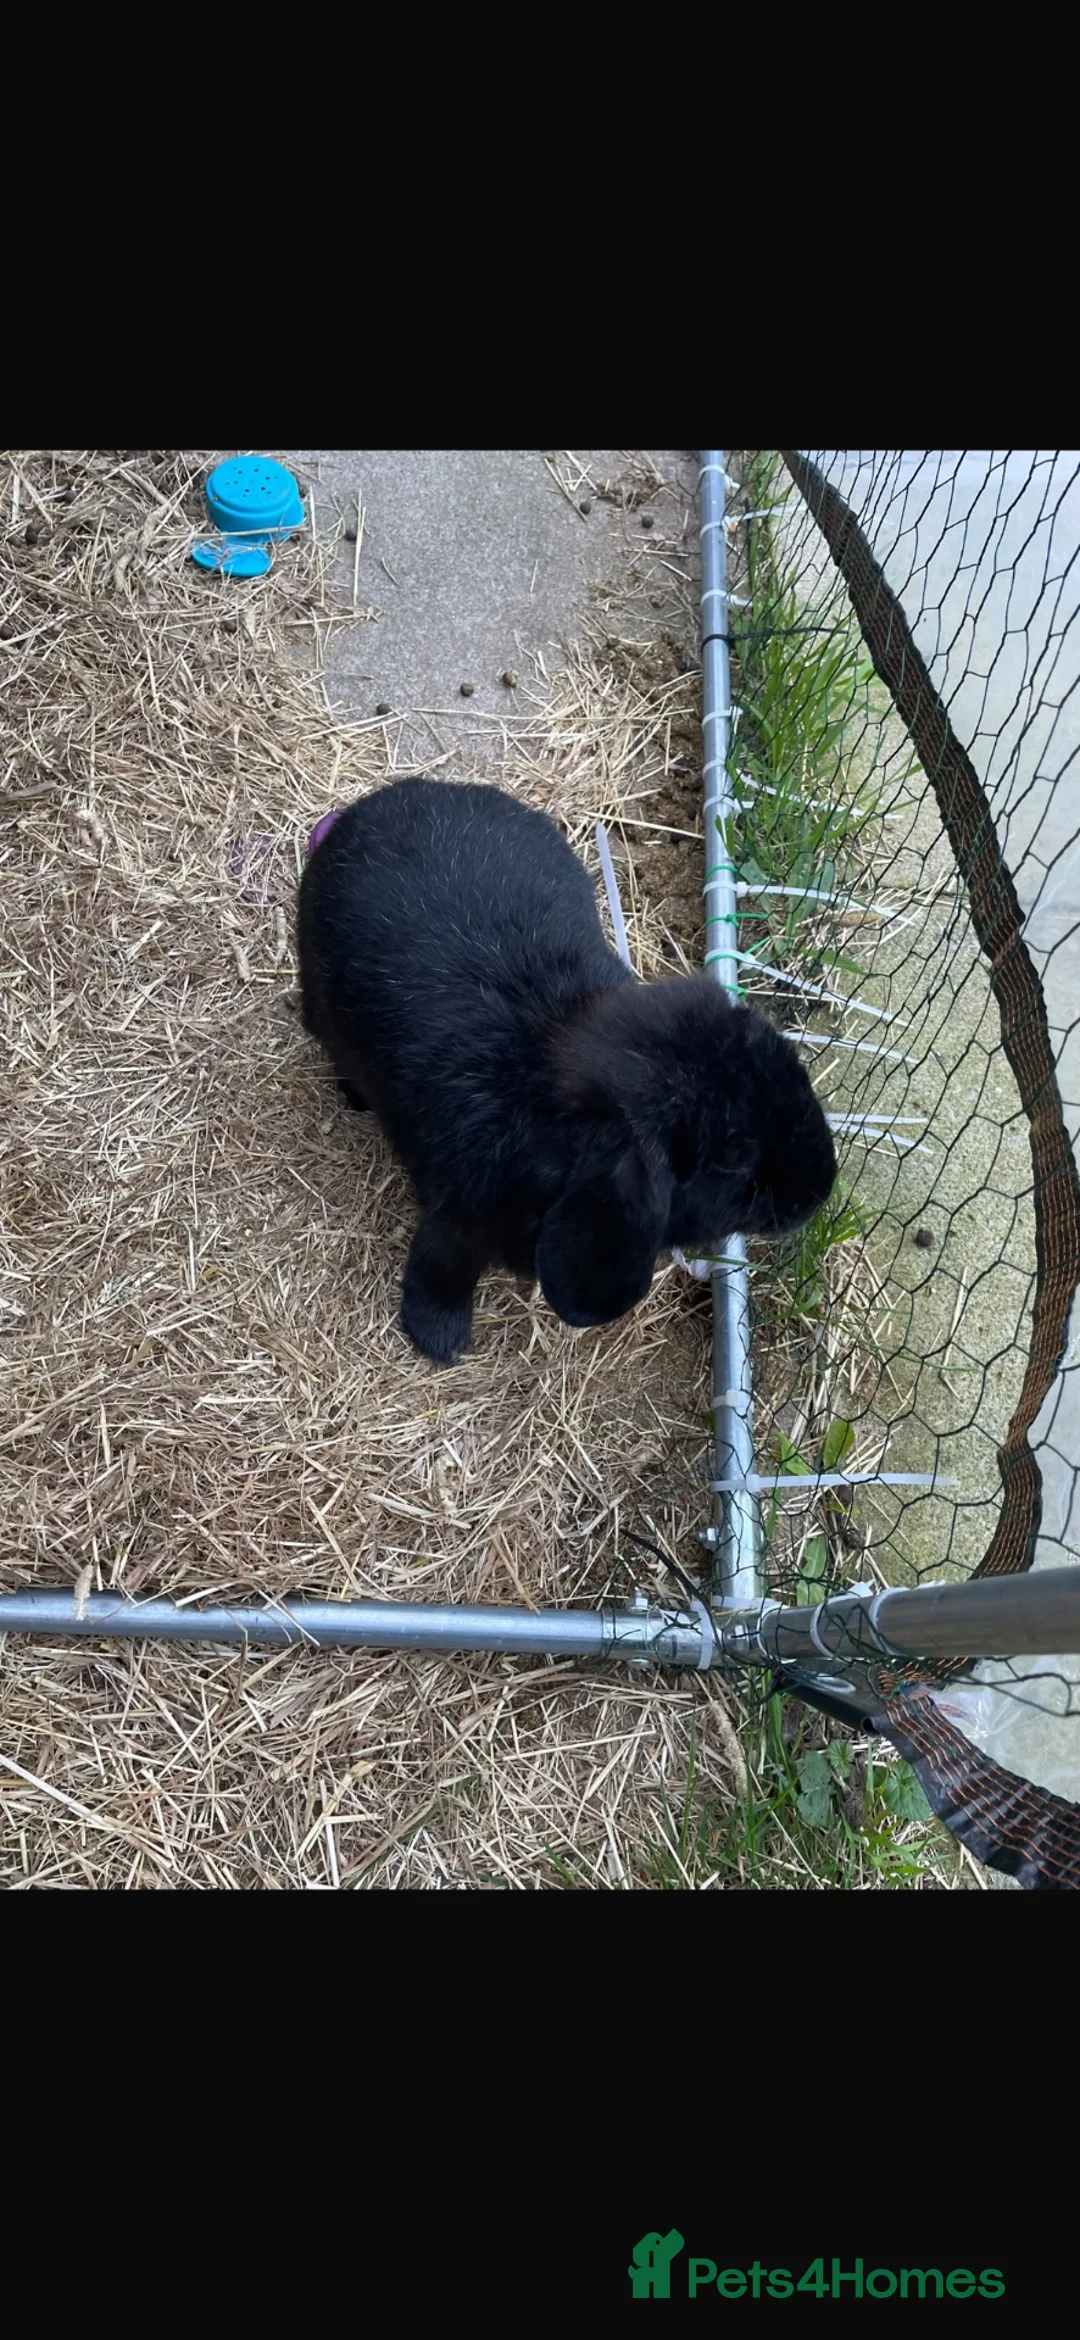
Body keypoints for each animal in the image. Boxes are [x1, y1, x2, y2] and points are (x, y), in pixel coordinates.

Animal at [297, 777, 837, 1365]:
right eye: (733, 1163)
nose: (822, 1189)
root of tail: (372, 805)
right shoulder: (459, 1210)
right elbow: (445, 1262)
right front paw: (437, 1335)